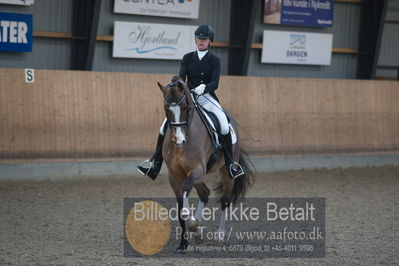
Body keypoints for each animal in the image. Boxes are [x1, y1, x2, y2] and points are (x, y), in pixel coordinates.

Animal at [157, 75, 253, 254]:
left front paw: (194, 226)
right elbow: (180, 211)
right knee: (205, 193)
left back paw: (220, 236)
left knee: (224, 200)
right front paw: (185, 242)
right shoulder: (175, 176)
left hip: (226, 172)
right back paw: (197, 230)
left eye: (185, 107)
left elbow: (185, 207)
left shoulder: (196, 171)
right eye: (166, 109)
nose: (179, 141)